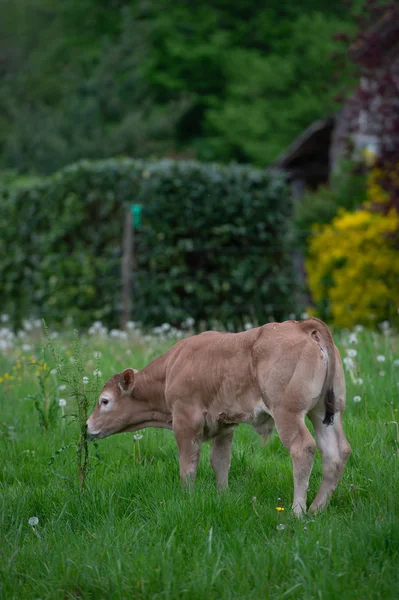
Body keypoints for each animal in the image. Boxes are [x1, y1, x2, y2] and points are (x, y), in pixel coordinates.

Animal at [86, 318, 350, 516]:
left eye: (104, 401)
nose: (87, 425)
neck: (172, 367)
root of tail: (302, 325)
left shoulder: (185, 421)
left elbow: (188, 465)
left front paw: (187, 498)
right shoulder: (225, 426)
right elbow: (220, 461)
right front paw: (223, 496)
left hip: (288, 413)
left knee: (303, 448)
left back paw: (298, 511)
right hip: (327, 412)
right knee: (337, 452)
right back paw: (317, 508)